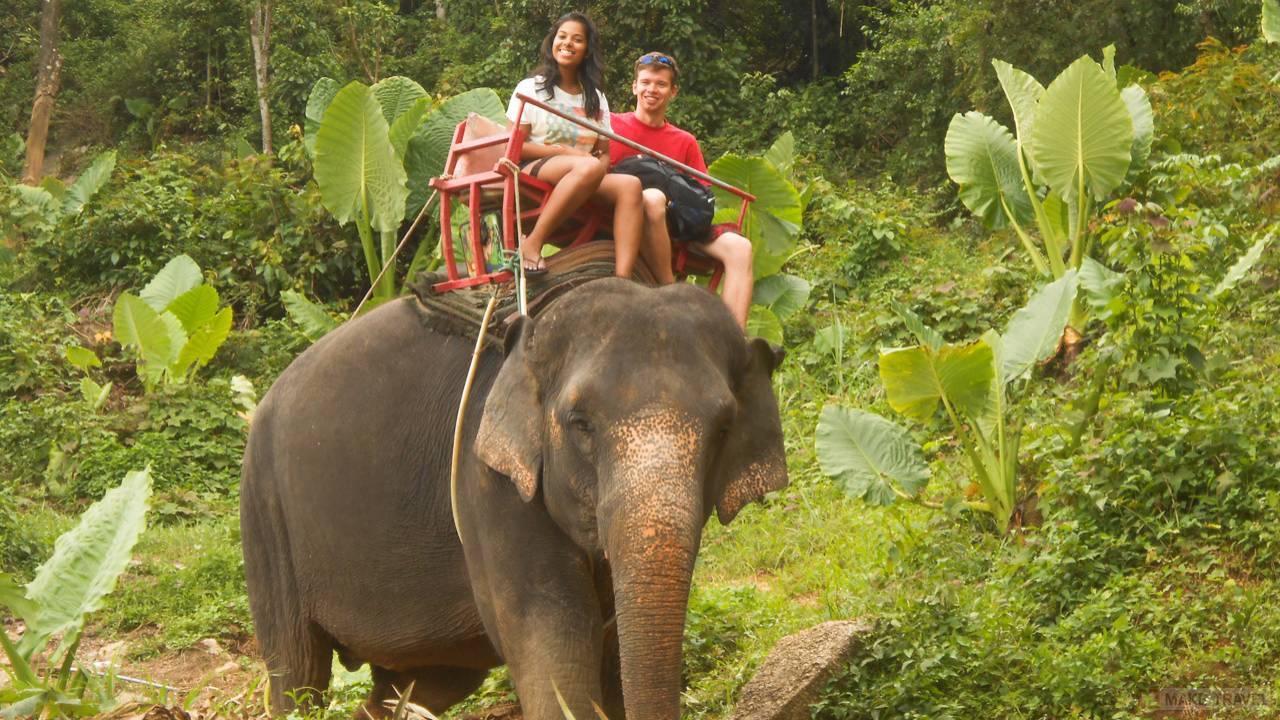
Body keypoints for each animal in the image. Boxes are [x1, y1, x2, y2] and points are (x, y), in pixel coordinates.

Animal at [235, 275, 783, 717]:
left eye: (724, 427)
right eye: (580, 424)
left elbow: (608, 650)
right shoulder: (488, 485)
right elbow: (555, 648)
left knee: (421, 684)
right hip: (264, 514)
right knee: (298, 672)